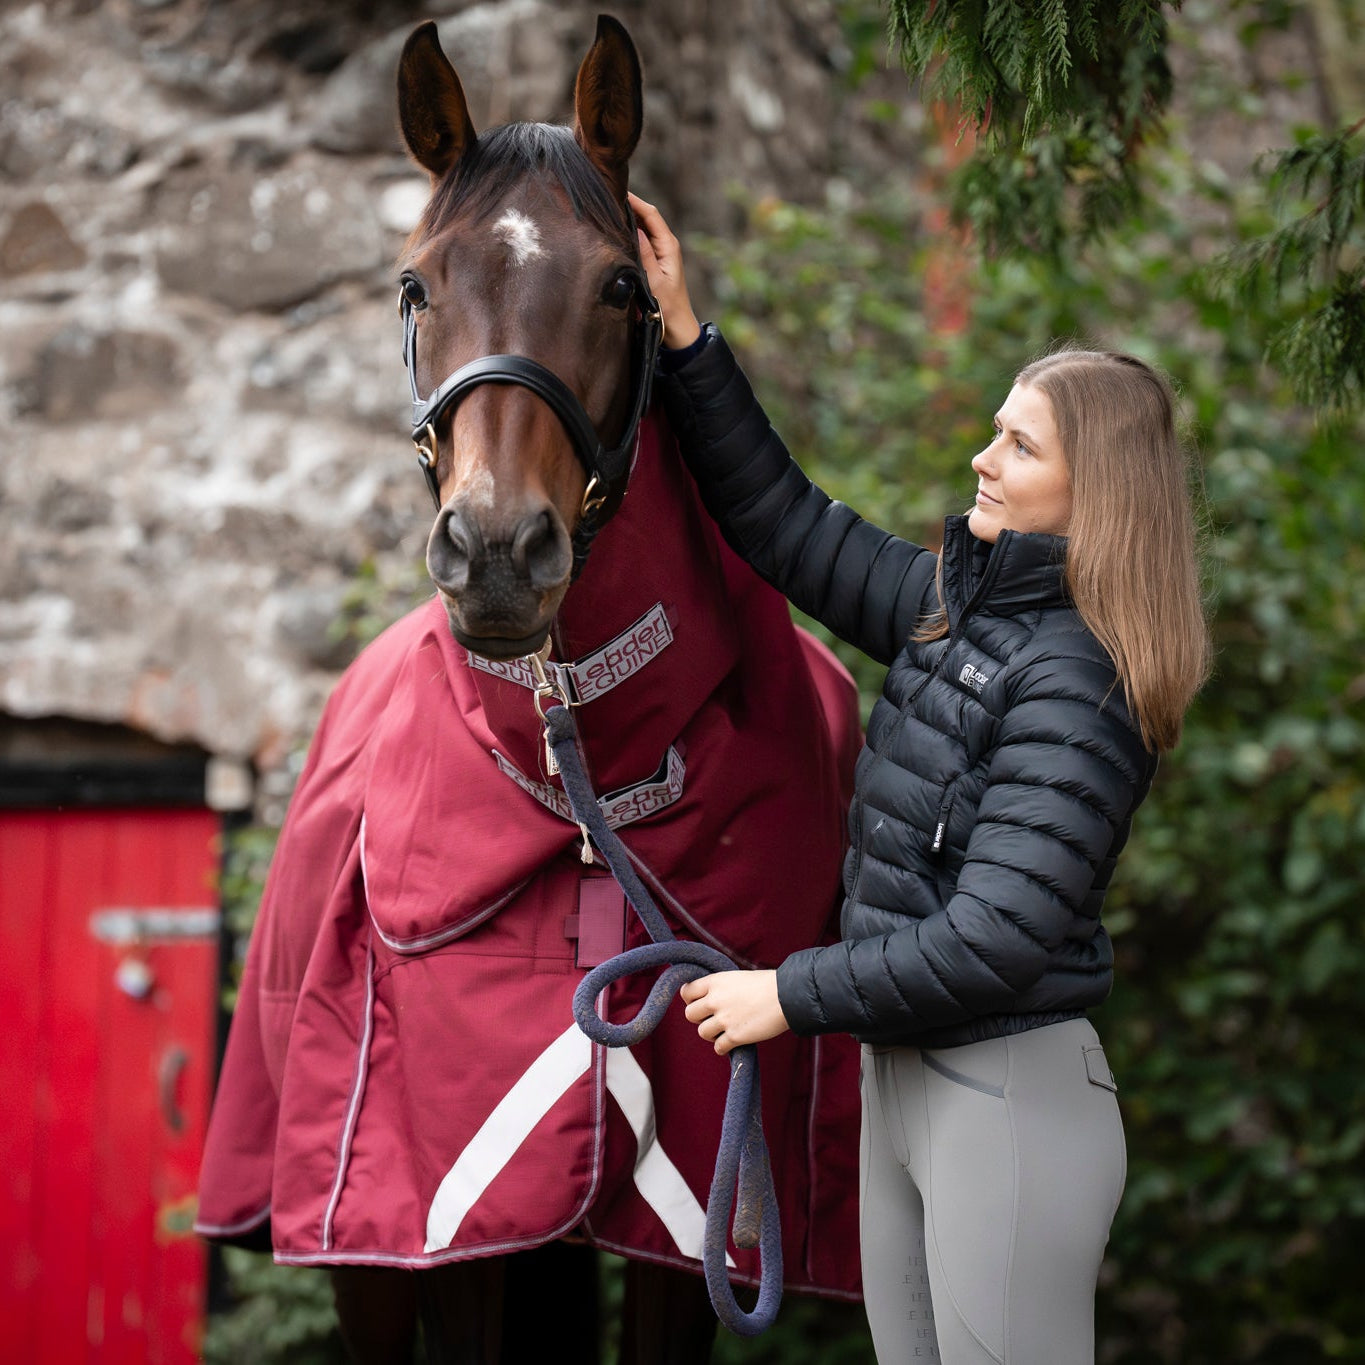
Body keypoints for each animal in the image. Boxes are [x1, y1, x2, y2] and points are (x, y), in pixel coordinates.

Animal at [196, 16, 863, 1362]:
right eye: (416, 286)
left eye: (621, 287)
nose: (498, 551)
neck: (579, 797)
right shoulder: (449, 1224)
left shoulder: (702, 1222)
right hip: (362, 1262)